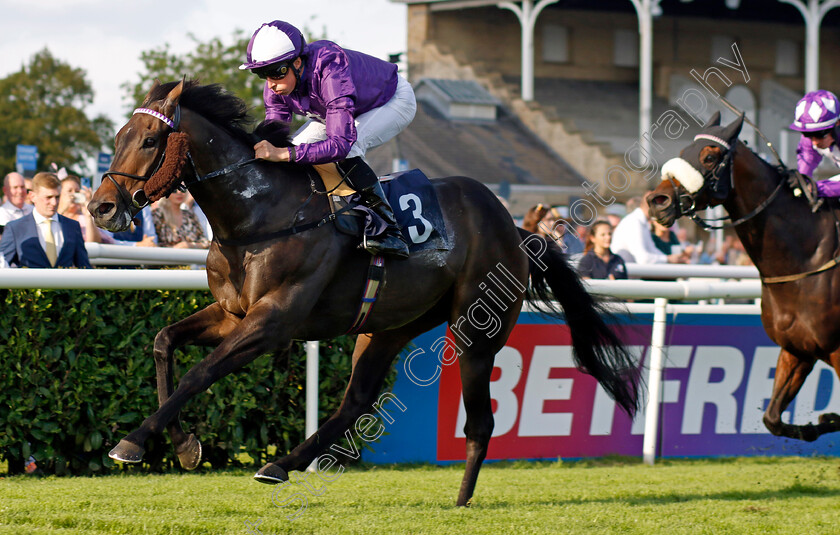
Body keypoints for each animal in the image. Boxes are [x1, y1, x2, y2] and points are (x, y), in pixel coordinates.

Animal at [87, 80, 636, 506]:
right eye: (118, 137)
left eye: (150, 139)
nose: (101, 208)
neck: (257, 215)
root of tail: (517, 230)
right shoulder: (231, 313)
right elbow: (164, 342)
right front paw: (181, 446)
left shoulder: (272, 321)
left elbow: (199, 372)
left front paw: (133, 440)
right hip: (388, 326)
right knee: (357, 401)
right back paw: (281, 464)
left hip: (477, 329)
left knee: (479, 421)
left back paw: (461, 499)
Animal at [648, 110, 840, 444]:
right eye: (683, 151)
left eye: (709, 157)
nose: (657, 200)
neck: (806, 257)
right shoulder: (798, 349)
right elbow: (772, 418)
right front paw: (819, 424)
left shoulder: (837, 350)